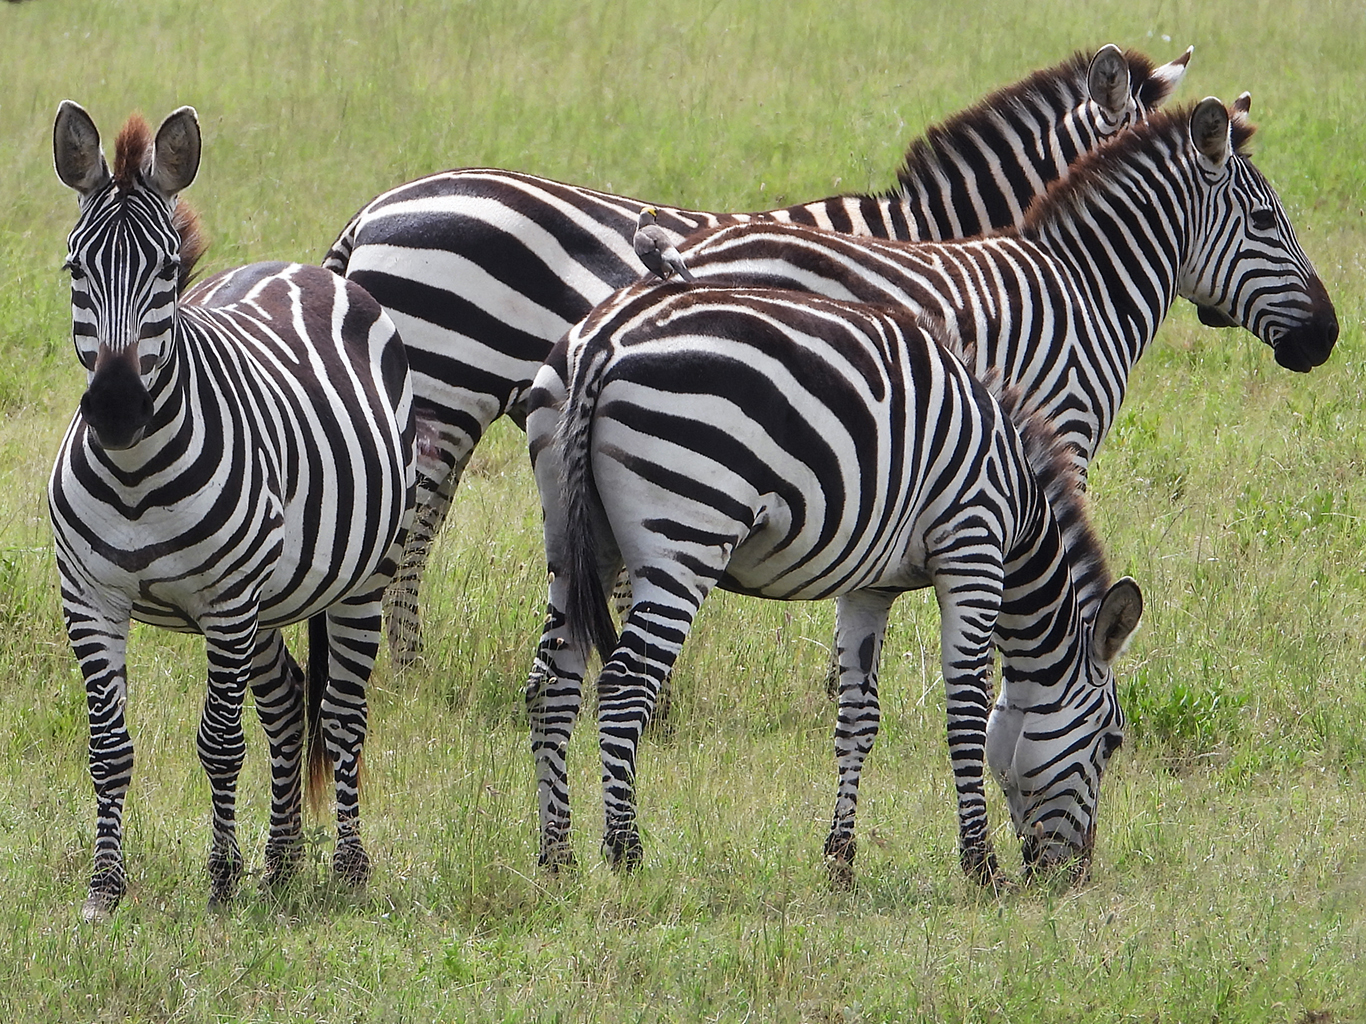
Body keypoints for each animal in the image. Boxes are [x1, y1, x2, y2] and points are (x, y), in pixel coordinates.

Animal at [51, 104, 415, 922]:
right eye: (75, 270)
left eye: (164, 270)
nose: (115, 410)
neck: (134, 476)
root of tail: (304, 266)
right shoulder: (90, 598)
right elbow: (108, 749)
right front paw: (104, 890)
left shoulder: (224, 600)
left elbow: (218, 743)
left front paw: (219, 880)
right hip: (270, 598)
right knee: (285, 702)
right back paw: (281, 862)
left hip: (359, 578)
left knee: (342, 714)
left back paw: (347, 866)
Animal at [521, 289, 1141, 890]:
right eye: (1111, 741)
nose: (1072, 876)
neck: (1019, 504)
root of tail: (603, 339)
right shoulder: (972, 550)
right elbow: (966, 713)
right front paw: (980, 865)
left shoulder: (869, 587)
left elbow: (857, 719)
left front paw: (841, 862)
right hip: (686, 536)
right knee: (623, 687)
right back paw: (625, 853)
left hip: (575, 543)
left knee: (551, 684)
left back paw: (557, 856)